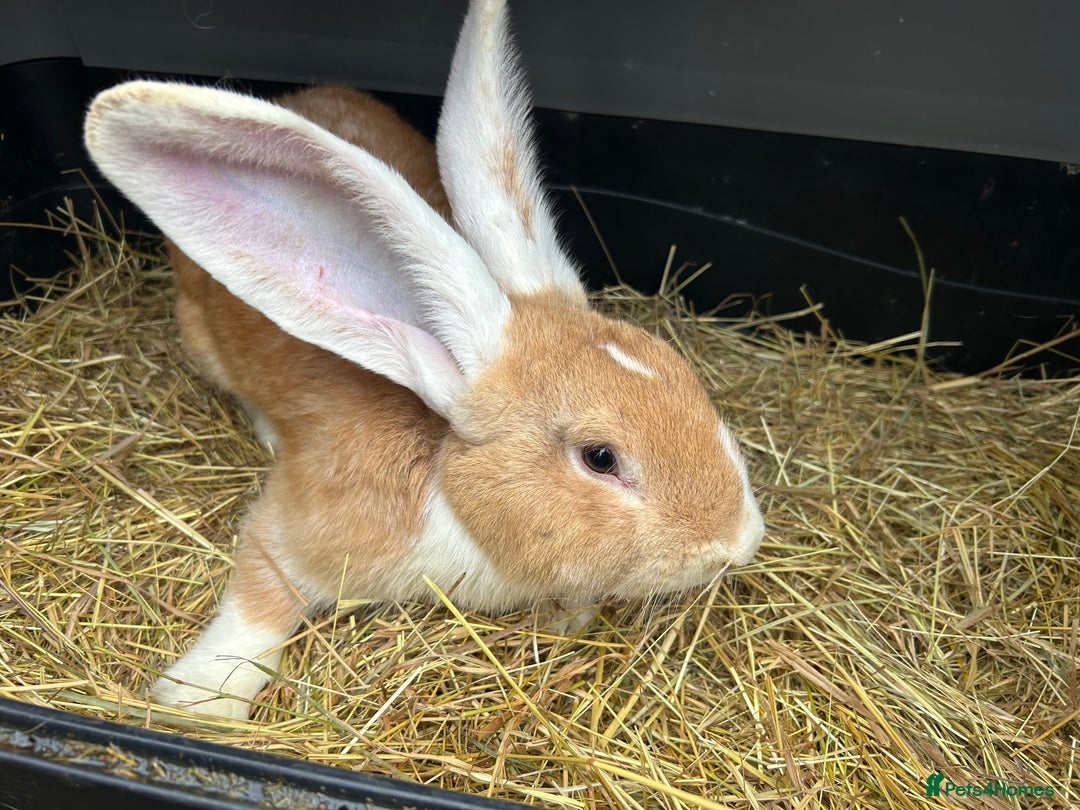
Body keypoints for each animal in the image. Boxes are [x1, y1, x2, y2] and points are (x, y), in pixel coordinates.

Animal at [83, 0, 765, 720]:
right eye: (600, 457)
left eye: (685, 378)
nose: (740, 542)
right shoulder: (299, 531)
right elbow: (261, 599)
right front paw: (195, 700)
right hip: (201, 340)